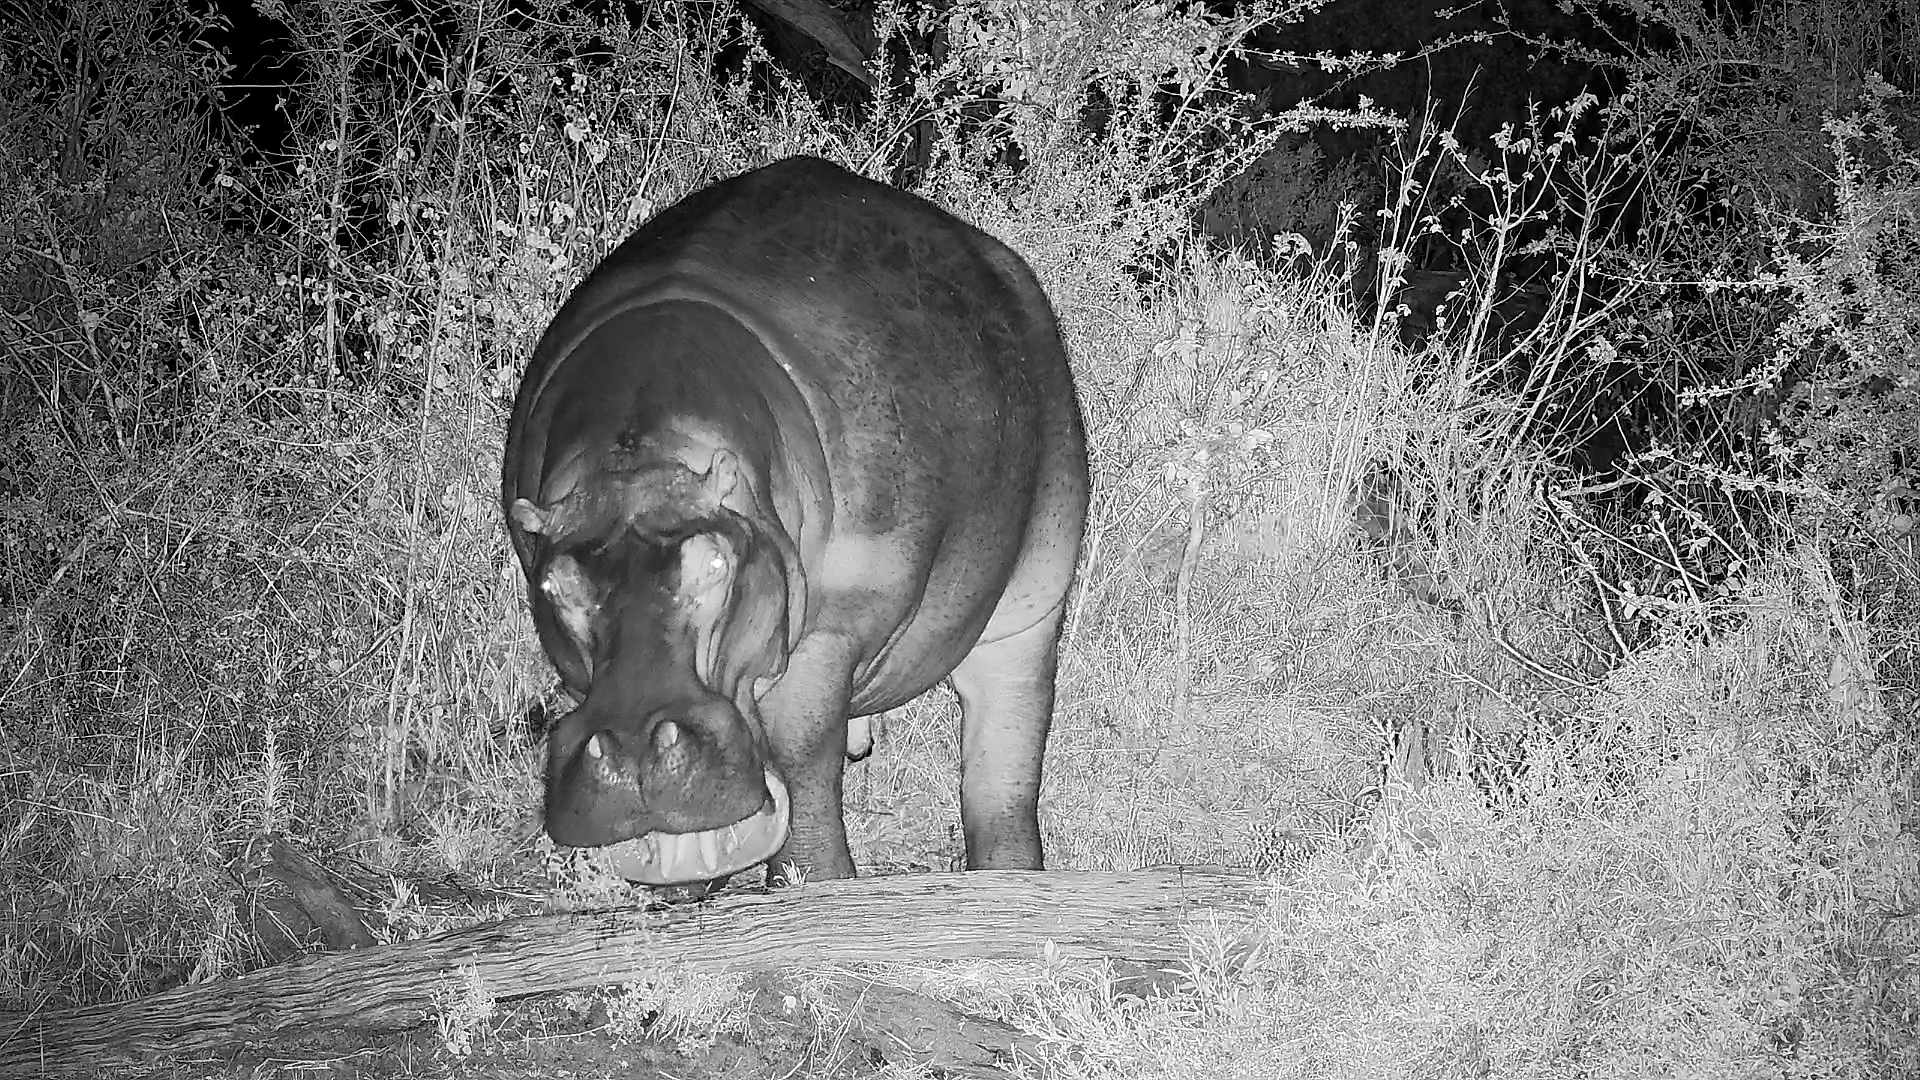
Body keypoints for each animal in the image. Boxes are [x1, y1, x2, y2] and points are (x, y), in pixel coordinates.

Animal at [501, 156, 1089, 885]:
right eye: (553, 589)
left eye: (717, 563)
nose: (634, 756)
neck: (640, 461)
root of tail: (1006, 265)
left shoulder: (832, 631)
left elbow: (804, 758)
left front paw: (819, 886)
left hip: (1030, 604)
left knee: (1002, 769)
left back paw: (1007, 878)